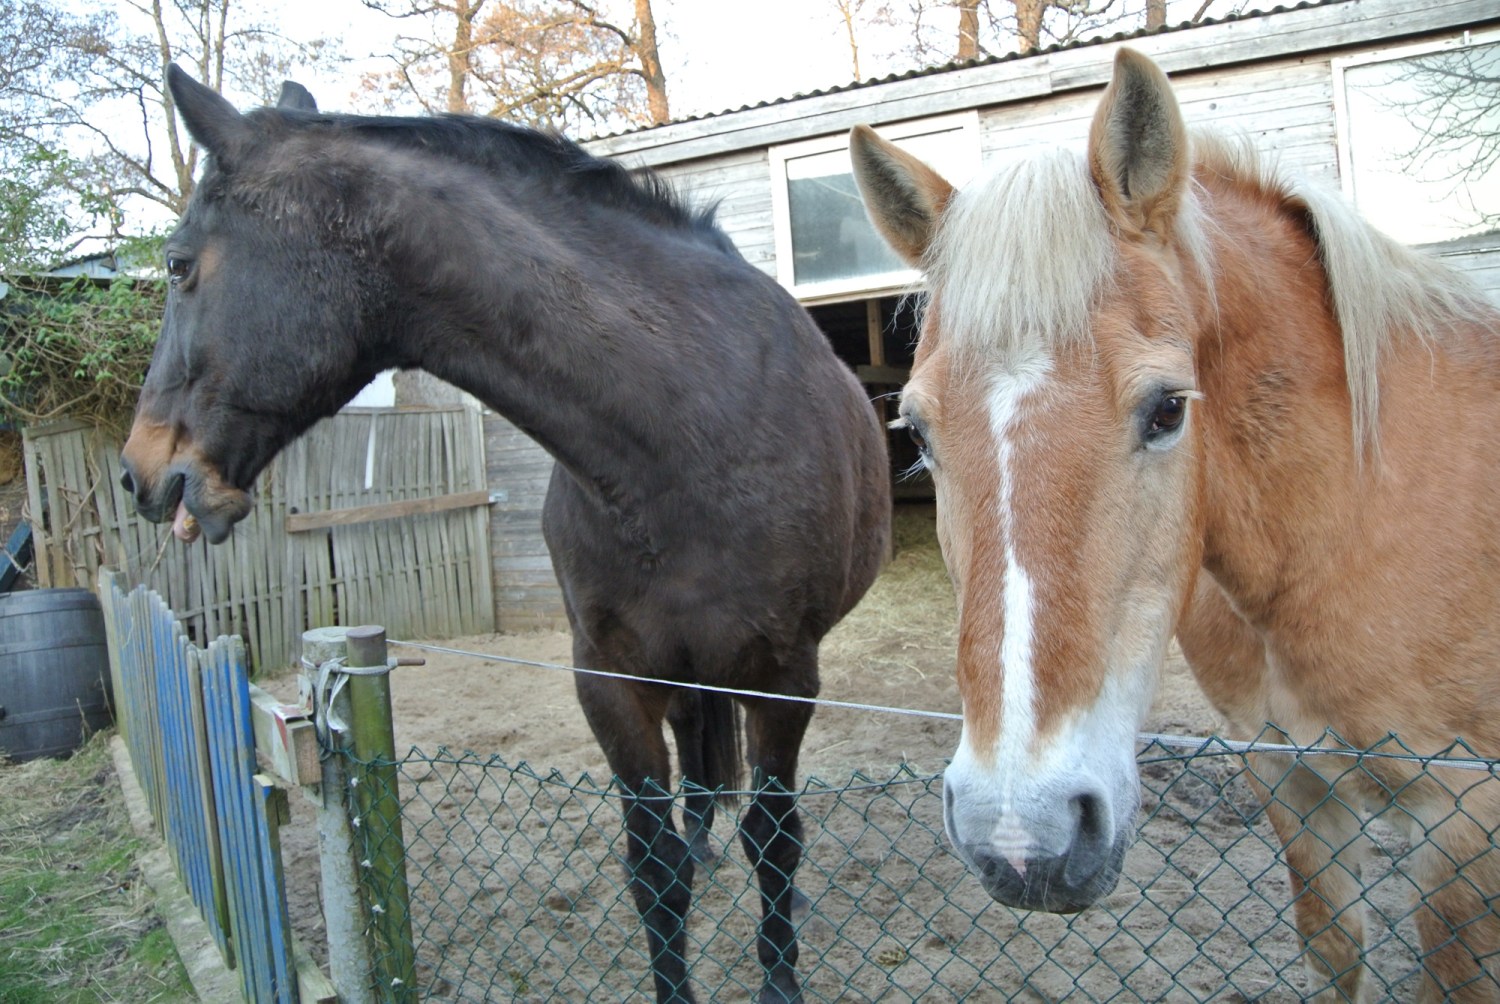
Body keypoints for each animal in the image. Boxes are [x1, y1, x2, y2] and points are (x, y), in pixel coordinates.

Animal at [120, 67, 891, 1004]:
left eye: (177, 265)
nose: (139, 471)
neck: (689, 436)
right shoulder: (610, 678)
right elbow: (654, 869)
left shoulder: (783, 677)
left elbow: (777, 846)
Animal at [852, 47, 1500, 1002]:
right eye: (919, 432)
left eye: (1166, 409)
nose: (1019, 832)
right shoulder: (1292, 781)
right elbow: (1336, 947)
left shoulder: (1461, 823)